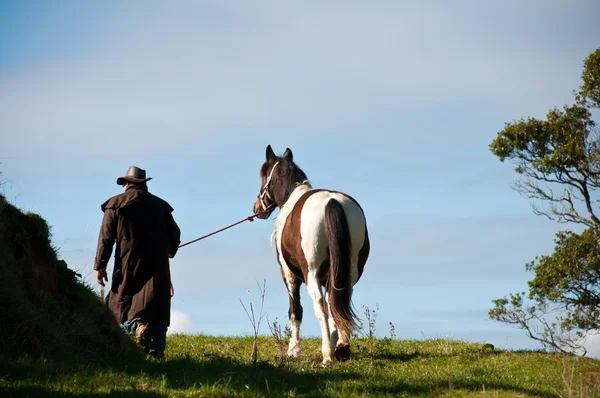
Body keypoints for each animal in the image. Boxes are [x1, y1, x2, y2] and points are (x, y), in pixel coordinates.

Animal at [251, 145, 368, 366]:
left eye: (263, 176)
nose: (257, 209)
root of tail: (332, 202)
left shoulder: (289, 275)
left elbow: (295, 310)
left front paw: (294, 349)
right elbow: (334, 305)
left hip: (310, 272)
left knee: (320, 304)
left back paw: (327, 355)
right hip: (349, 271)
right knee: (340, 299)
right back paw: (341, 347)